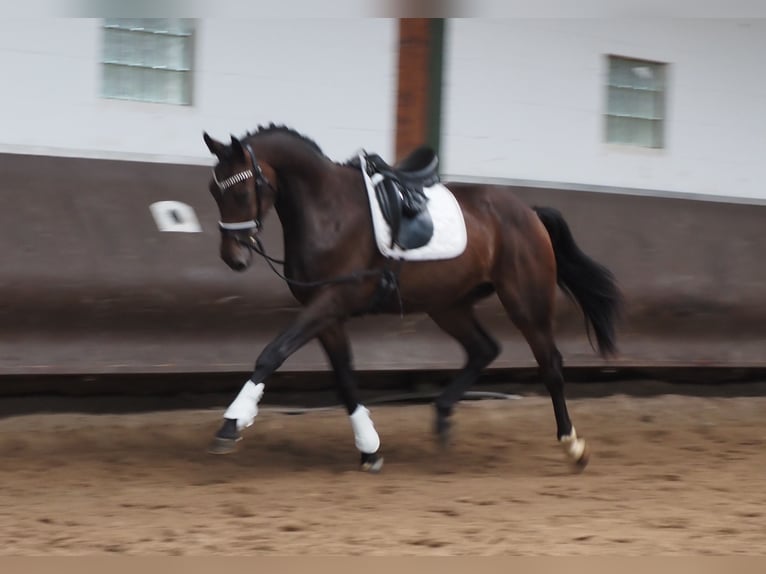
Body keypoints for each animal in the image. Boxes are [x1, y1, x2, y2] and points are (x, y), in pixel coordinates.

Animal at [201, 125, 620, 472]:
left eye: (241, 191)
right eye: (213, 191)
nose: (233, 258)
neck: (328, 211)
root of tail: (529, 213)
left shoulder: (332, 301)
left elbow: (273, 353)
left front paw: (232, 423)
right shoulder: (326, 313)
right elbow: (344, 375)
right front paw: (369, 449)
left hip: (526, 302)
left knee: (550, 364)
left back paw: (572, 446)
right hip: (447, 305)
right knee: (484, 348)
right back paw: (443, 415)